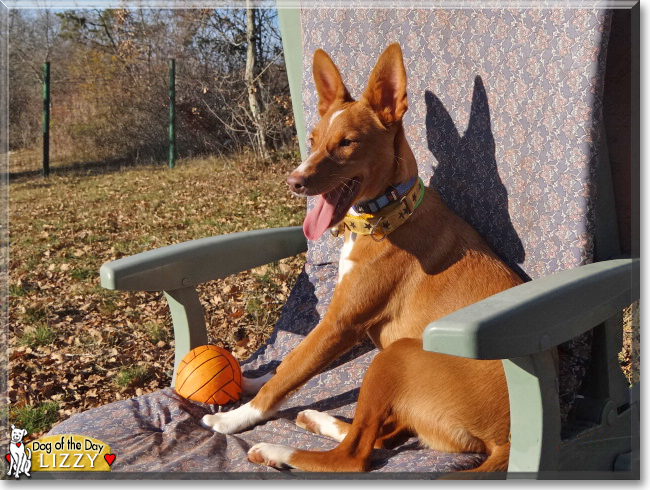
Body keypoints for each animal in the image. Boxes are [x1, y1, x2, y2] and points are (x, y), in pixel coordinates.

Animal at [202, 44, 520, 472]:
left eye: (347, 142)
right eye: (313, 139)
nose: (293, 182)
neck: (390, 215)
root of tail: (507, 440)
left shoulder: (340, 324)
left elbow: (290, 373)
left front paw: (235, 417)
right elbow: (291, 362)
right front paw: (247, 381)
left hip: (396, 356)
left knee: (354, 456)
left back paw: (276, 450)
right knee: (380, 437)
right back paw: (317, 420)